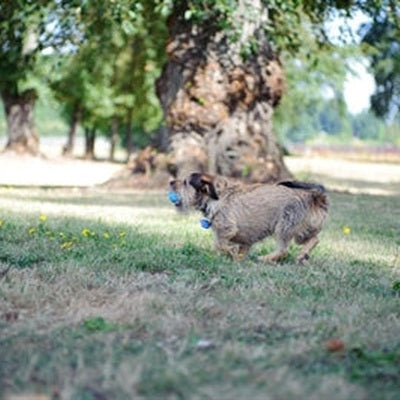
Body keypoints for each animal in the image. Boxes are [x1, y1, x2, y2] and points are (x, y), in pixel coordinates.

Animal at [169, 173, 328, 262]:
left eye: (185, 182)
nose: (171, 182)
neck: (215, 198)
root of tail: (314, 197)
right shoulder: (245, 241)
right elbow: (237, 250)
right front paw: (235, 259)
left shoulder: (226, 229)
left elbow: (219, 244)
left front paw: (230, 253)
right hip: (301, 233)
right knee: (315, 239)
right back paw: (302, 255)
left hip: (284, 226)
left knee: (283, 250)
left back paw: (266, 258)